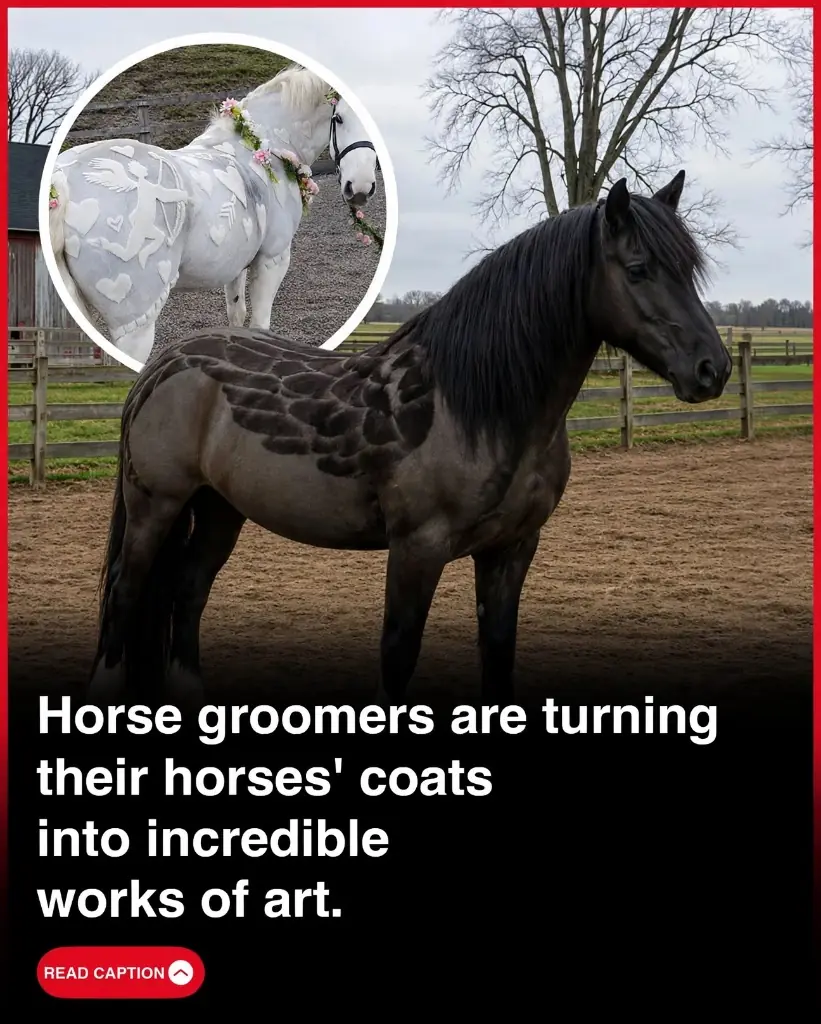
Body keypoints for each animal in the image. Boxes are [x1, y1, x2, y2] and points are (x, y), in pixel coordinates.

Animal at [48, 66, 378, 366]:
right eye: (338, 118)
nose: (361, 187)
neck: (261, 149)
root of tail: (62, 182)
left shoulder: (237, 264)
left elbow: (237, 315)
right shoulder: (273, 259)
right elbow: (260, 324)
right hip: (134, 323)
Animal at [88, 170, 731, 705]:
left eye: (689, 269)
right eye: (639, 268)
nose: (713, 369)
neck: (472, 403)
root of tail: (164, 363)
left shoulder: (512, 549)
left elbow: (498, 657)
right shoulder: (418, 547)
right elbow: (398, 657)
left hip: (221, 508)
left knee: (188, 592)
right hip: (156, 505)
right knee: (125, 594)